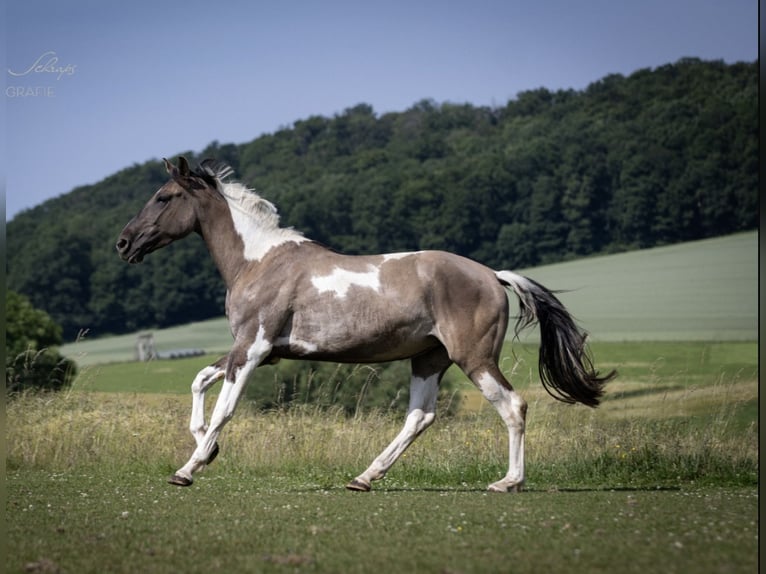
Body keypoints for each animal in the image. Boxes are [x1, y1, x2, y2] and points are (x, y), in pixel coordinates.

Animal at [116, 157, 615, 492]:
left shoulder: (253, 349)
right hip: (429, 359)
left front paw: (188, 469)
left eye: (163, 197)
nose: (124, 243)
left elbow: (224, 407)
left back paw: (507, 482)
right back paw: (365, 477)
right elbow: (200, 381)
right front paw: (207, 446)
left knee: (513, 406)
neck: (258, 262)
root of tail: (493, 275)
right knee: (419, 417)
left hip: (473, 358)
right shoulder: (261, 351)